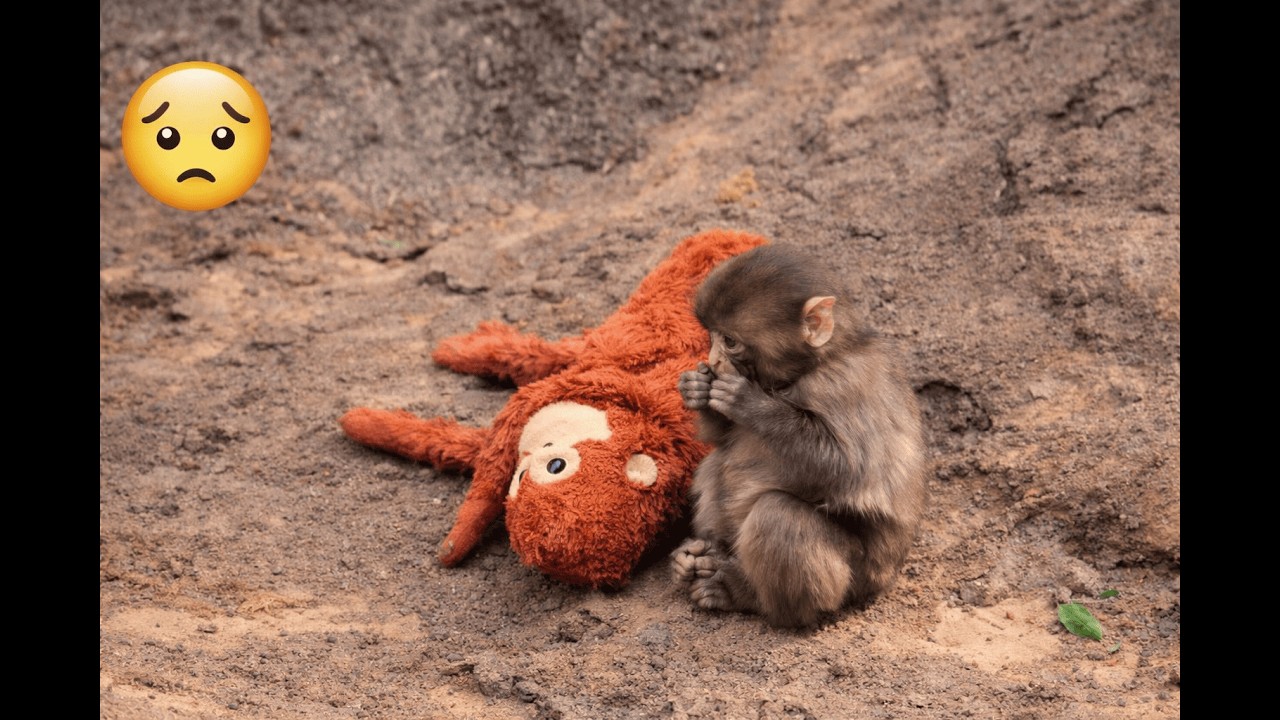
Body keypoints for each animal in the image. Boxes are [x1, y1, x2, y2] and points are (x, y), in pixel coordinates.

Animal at [671, 243, 926, 628]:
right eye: (711, 335)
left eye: (730, 341)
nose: (713, 362)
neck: (811, 368)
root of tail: (886, 578)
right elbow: (724, 437)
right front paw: (698, 389)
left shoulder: (847, 383)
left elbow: (847, 467)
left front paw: (750, 403)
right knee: (717, 462)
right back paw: (703, 554)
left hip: (854, 579)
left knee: (779, 515)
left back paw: (745, 595)